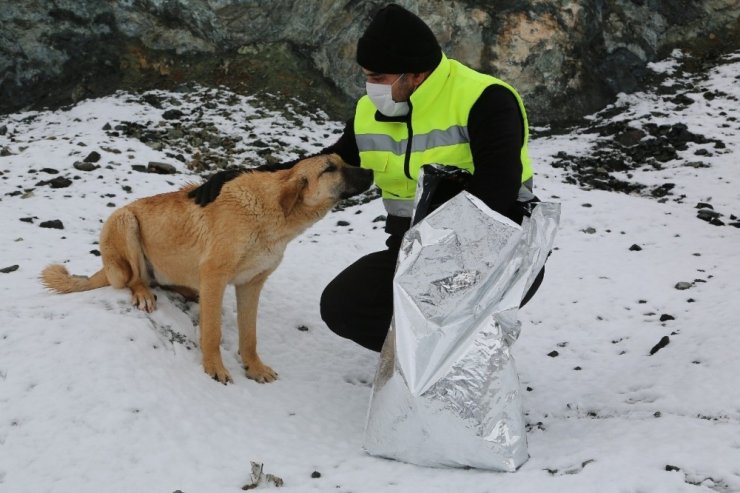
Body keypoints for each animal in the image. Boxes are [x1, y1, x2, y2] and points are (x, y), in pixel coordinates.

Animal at [40, 156, 372, 382]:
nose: (370, 170)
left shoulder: (251, 284)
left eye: (343, 161)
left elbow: (249, 336)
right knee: (133, 280)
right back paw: (143, 293)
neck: (271, 215)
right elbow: (212, 333)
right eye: (330, 168)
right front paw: (214, 368)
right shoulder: (216, 275)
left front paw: (255, 367)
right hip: (124, 222)